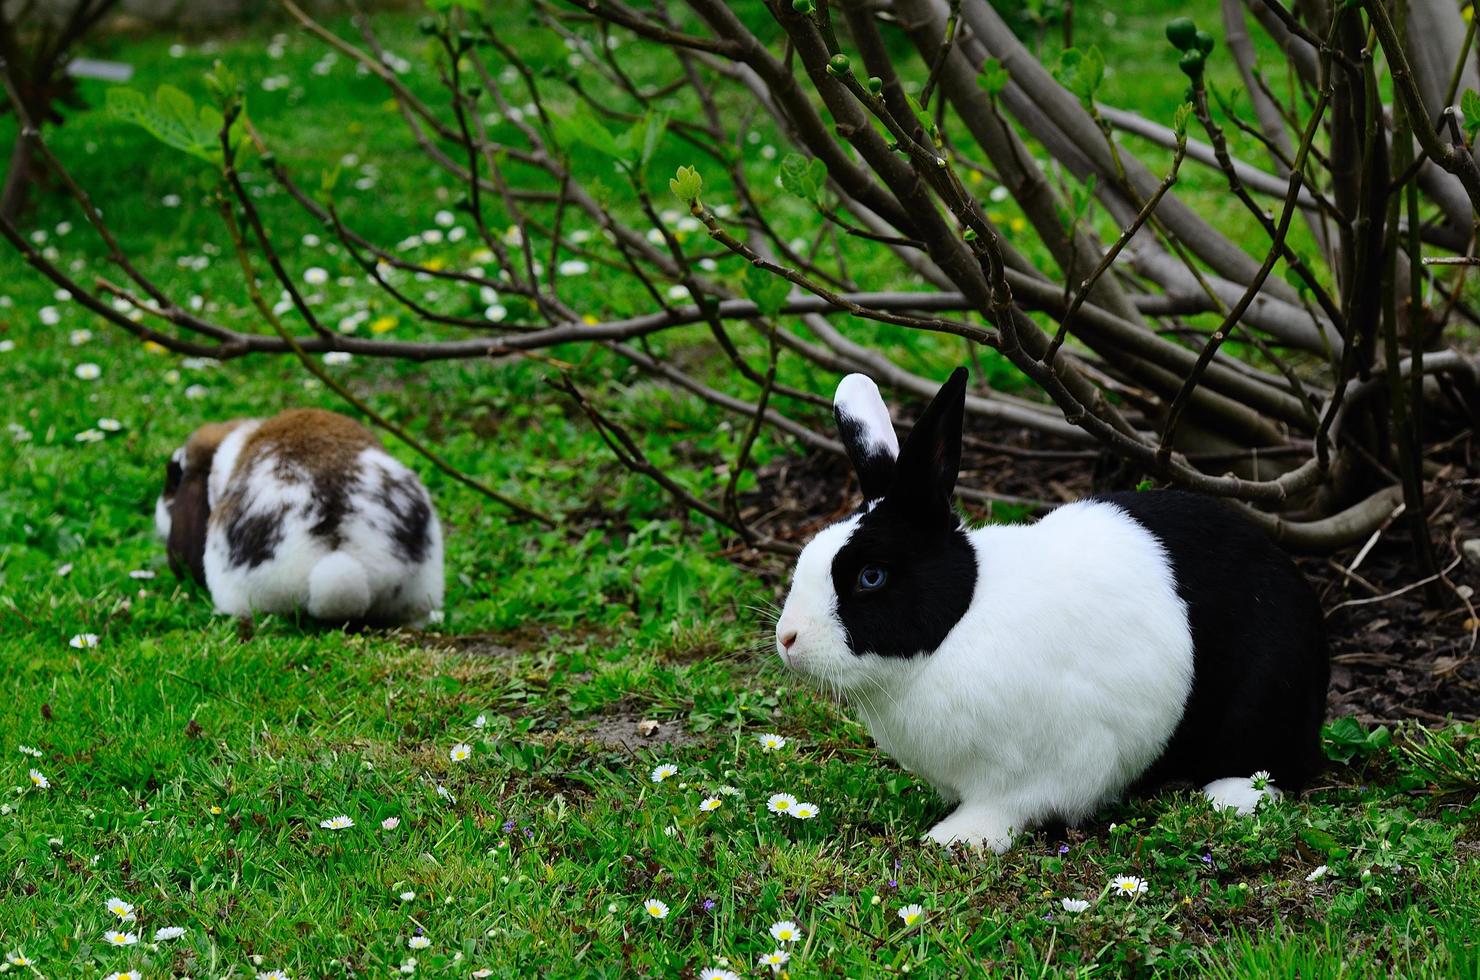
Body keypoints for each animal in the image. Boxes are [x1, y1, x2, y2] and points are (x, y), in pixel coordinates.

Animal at [775, 368, 1332, 852]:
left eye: (871, 577)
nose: (787, 638)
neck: (958, 626)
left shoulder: (1050, 766)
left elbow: (1008, 806)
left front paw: (957, 838)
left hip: (1263, 702)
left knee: (1273, 768)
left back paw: (1229, 797)